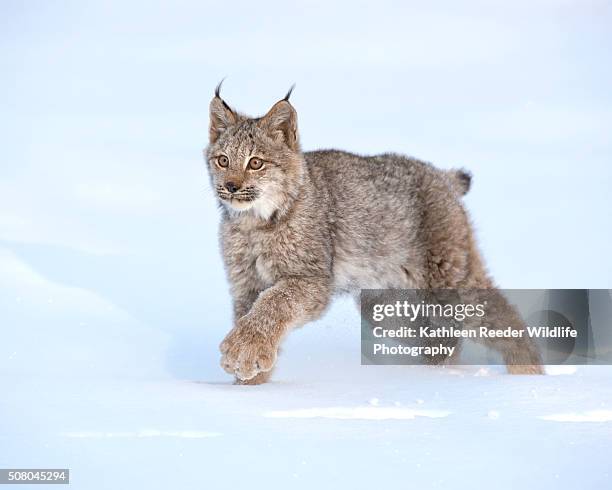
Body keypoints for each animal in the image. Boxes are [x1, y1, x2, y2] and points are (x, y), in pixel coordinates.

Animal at [203, 83, 544, 382]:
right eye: (223, 160)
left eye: (255, 163)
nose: (230, 187)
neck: (254, 223)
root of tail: (438, 173)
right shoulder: (245, 286)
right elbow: (253, 314)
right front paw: (250, 385)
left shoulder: (311, 279)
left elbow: (274, 303)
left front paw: (243, 354)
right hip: (385, 306)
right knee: (440, 339)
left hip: (449, 282)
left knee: (501, 316)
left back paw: (527, 376)